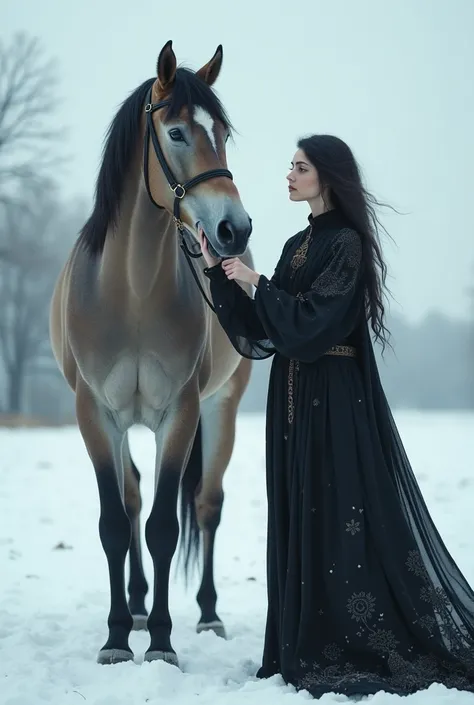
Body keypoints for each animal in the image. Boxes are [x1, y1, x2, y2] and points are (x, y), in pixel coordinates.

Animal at [49, 40, 254, 664]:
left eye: (223, 133)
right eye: (178, 132)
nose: (235, 228)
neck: (133, 290)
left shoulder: (180, 413)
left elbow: (165, 528)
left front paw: (161, 642)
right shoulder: (95, 414)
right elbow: (116, 524)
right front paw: (119, 636)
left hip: (221, 409)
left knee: (207, 504)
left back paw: (207, 614)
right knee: (134, 497)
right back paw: (136, 608)